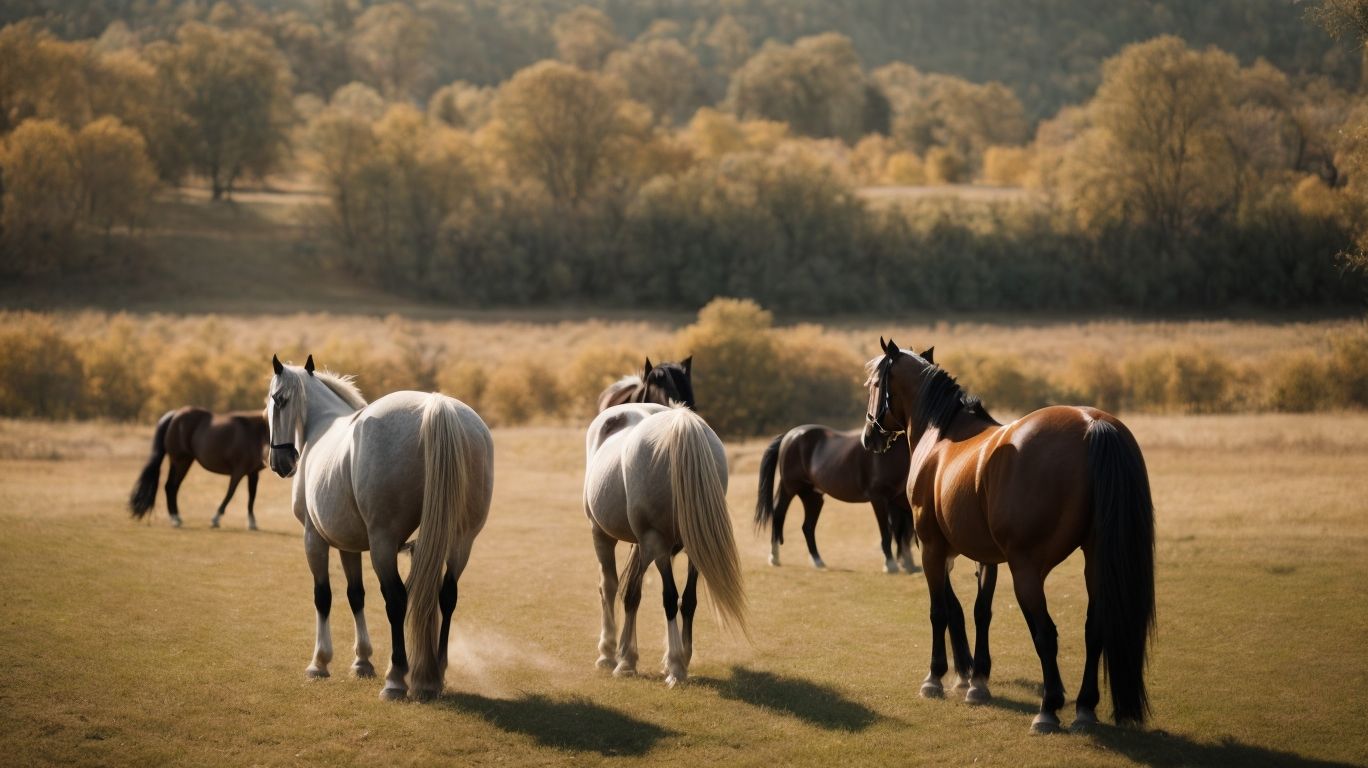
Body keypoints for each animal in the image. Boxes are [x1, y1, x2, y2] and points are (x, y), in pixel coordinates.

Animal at [128, 407, 269, 529]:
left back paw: (176, 518)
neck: (256, 432)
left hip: (182, 462)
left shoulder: (253, 473)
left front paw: (252, 523)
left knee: (172, 487)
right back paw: (175, 519)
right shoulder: (238, 471)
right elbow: (230, 493)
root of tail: (175, 415)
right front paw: (216, 519)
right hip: (180, 461)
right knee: (171, 486)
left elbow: (252, 496)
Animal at [266, 354, 493, 701]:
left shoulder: (314, 539)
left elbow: (323, 596)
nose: (281, 463)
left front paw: (320, 662)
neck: (323, 424)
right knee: (447, 596)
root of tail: (435, 407)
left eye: (277, 400)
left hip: (383, 544)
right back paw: (436, 673)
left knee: (396, 599)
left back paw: (396, 678)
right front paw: (362, 661)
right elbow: (355, 595)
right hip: (461, 542)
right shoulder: (348, 545)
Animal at [584, 402, 746, 687]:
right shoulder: (657, 545)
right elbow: (669, 597)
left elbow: (687, 600)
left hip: (636, 542)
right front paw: (675, 664)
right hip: (603, 534)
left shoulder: (691, 550)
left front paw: (680, 659)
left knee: (626, 591)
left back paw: (621, 656)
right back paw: (609, 653)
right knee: (610, 587)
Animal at [755, 424, 918, 573]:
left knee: (807, 527)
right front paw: (891, 564)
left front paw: (907, 564)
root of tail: (789, 436)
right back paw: (774, 558)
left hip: (813, 497)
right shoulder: (879, 499)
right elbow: (887, 531)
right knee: (778, 515)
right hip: (789, 488)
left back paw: (817, 561)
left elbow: (902, 531)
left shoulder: (897, 501)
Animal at [862, 338, 1154, 733]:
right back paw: (1083, 707)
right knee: (1094, 629)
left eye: (875, 384)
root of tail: (1092, 424)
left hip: (1026, 569)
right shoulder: (986, 556)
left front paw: (936, 678)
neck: (941, 434)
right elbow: (979, 611)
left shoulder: (932, 549)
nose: (869, 437)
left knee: (1046, 634)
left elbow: (941, 611)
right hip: (1094, 561)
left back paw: (1048, 709)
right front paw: (976, 681)